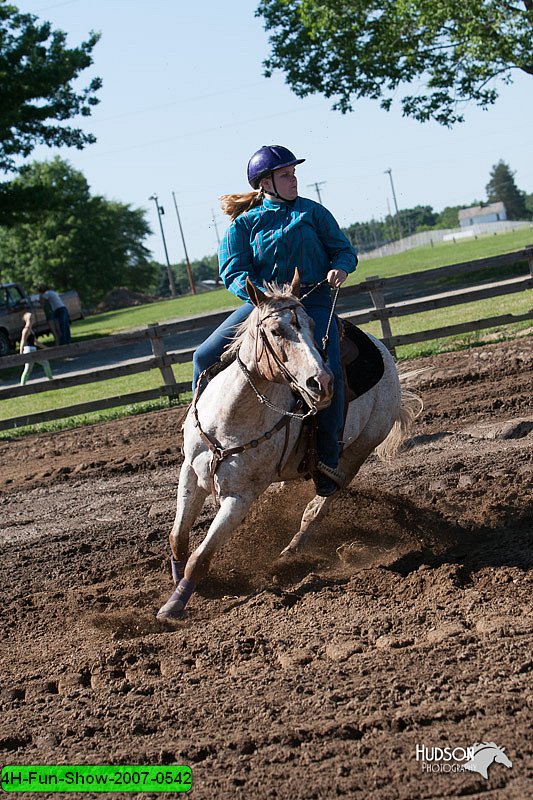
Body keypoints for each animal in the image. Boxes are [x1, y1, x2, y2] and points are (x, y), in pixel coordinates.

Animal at [156, 272, 422, 620]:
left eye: (311, 325)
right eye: (275, 330)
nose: (321, 383)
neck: (231, 417)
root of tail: (384, 355)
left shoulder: (241, 497)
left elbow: (201, 557)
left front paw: (174, 606)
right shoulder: (190, 471)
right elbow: (178, 537)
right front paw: (179, 585)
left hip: (355, 454)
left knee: (316, 509)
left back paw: (290, 553)